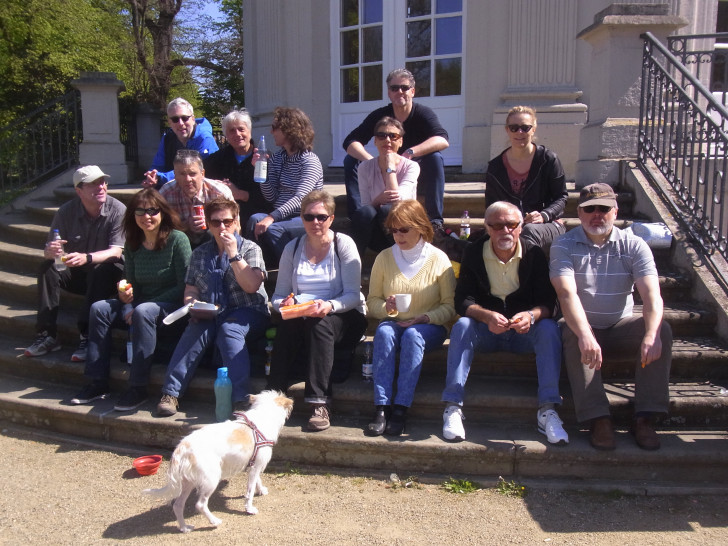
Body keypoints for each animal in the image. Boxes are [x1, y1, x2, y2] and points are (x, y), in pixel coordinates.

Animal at [144, 388, 294, 528]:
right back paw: (214, 521)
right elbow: (250, 491)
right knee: (200, 505)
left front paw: (261, 490)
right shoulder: (256, 467)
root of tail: (182, 448)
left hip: (189, 482)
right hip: (210, 479)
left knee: (178, 505)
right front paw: (249, 509)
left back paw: (184, 528)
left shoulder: (254, 465)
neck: (262, 417)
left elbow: (258, 480)